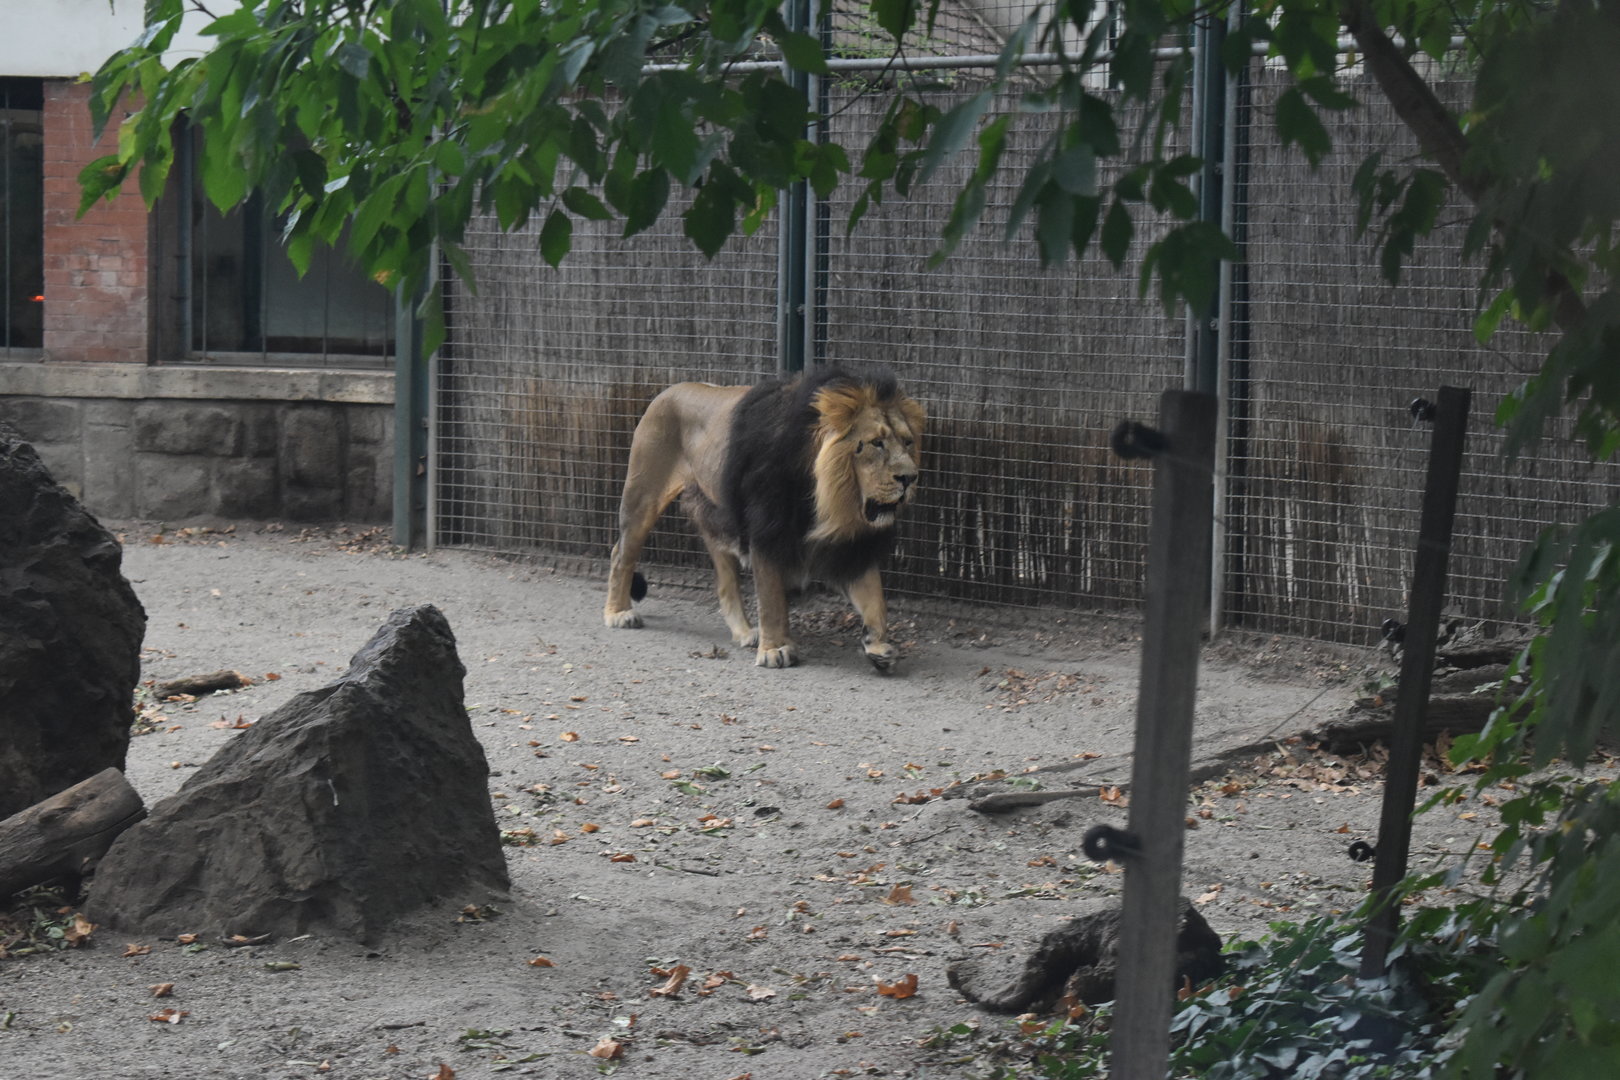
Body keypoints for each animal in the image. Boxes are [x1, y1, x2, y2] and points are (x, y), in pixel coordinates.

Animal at [603, 367, 924, 670]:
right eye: (876, 443)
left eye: (908, 442)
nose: (910, 478)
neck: (829, 498)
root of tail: (669, 390)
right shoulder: (767, 531)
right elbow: (771, 600)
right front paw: (776, 649)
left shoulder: (850, 543)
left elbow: (875, 598)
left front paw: (878, 646)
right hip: (643, 496)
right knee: (621, 554)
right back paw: (619, 613)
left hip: (718, 517)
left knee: (726, 583)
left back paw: (745, 632)